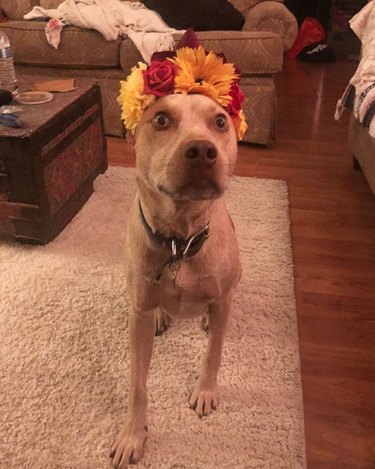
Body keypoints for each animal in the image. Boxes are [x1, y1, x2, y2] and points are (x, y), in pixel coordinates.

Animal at [110, 93, 242, 466]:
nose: (202, 150)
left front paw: (205, 391)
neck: (178, 242)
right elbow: (137, 385)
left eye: (220, 122)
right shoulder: (137, 316)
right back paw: (162, 316)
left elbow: (214, 353)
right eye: (161, 120)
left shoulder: (222, 297)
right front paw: (132, 435)